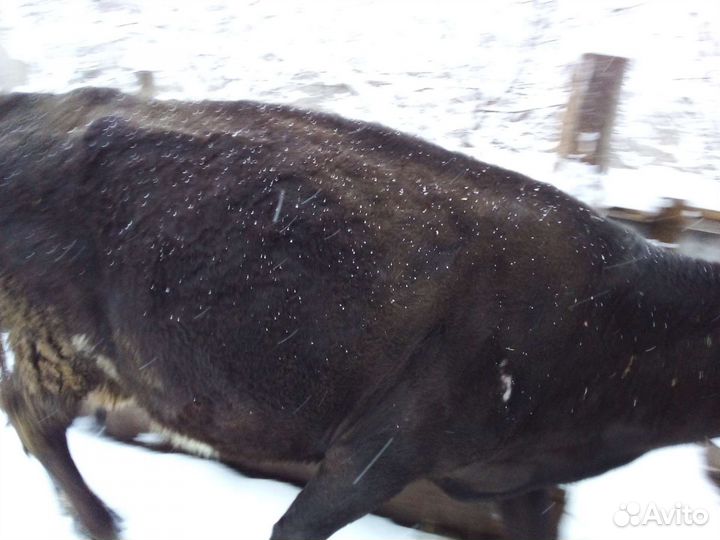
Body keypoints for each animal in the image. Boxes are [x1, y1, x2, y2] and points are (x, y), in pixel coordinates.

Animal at [0, 88, 718, 540]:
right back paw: (103, 523)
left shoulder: (519, 482)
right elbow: (293, 528)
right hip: (63, 343)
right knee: (32, 416)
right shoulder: (377, 454)